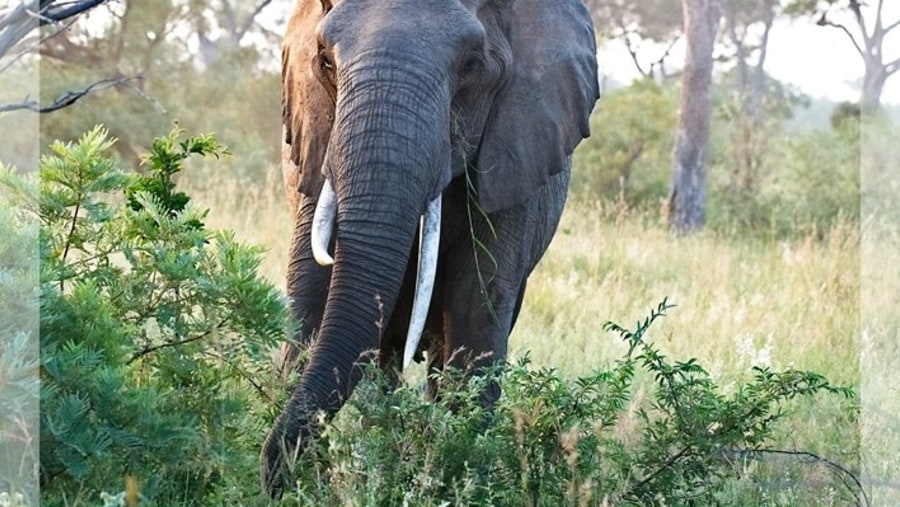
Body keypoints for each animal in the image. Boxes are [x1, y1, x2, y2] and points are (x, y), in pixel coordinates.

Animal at [260, 0, 596, 498]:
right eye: (324, 61)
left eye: (471, 66)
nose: (274, 479)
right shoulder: (315, 153)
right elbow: (311, 297)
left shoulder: (515, 162)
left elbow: (476, 315)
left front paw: (452, 483)